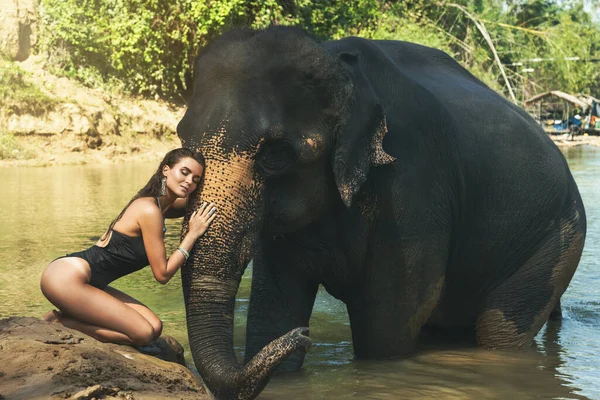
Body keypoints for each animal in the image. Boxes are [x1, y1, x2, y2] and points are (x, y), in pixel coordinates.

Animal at [175, 26, 584, 398]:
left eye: (275, 155)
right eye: (182, 141)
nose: (305, 337)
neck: (336, 64)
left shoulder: (413, 184)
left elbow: (388, 322)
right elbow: (274, 307)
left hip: (555, 241)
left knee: (499, 332)